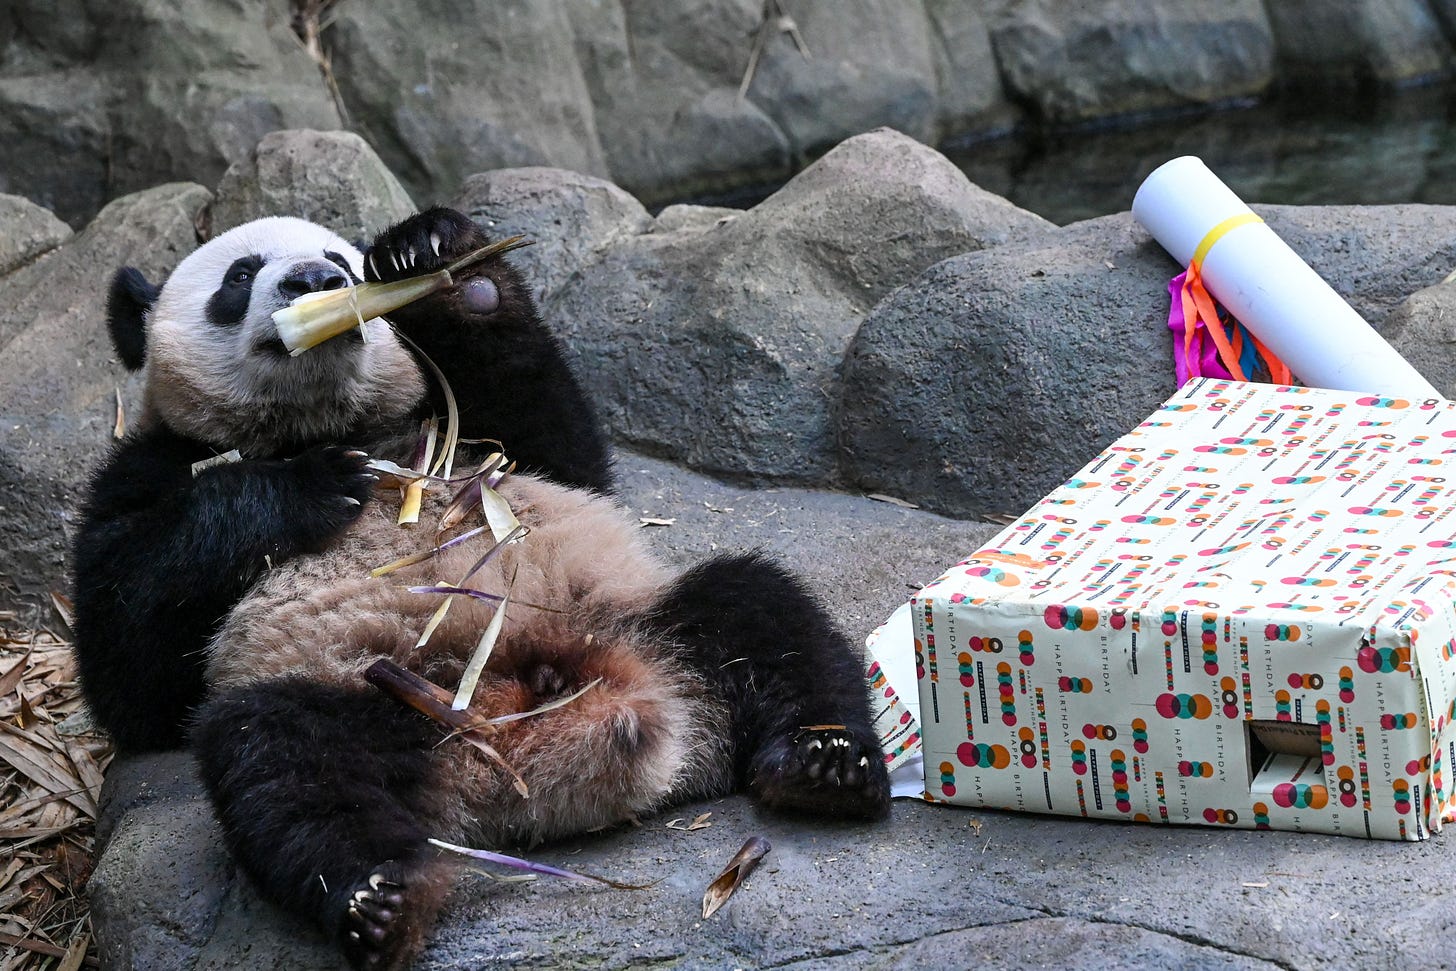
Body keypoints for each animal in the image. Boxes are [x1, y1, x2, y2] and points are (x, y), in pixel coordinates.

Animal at [73, 209, 891, 966]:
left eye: (343, 260)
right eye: (239, 276)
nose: (314, 281)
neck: (326, 422)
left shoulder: (465, 431)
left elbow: (558, 445)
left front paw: (438, 258)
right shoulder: (146, 469)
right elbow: (132, 668)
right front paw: (310, 486)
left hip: (637, 615)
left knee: (762, 611)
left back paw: (824, 763)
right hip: (372, 693)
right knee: (283, 764)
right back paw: (380, 900)